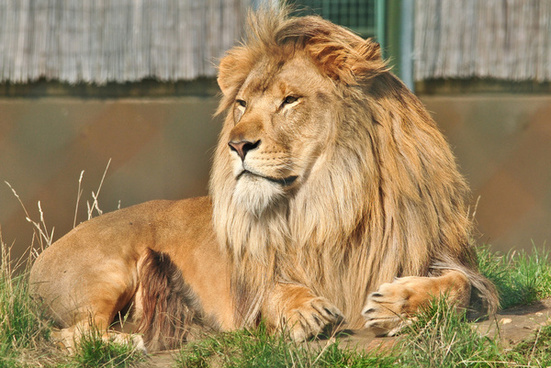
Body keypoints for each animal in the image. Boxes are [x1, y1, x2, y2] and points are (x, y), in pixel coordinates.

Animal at [29, 7, 500, 350]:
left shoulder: (453, 262)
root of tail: (38, 261)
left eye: (290, 100)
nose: (238, 145)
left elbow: (459, 287)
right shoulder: (249, 284)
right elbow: (273, 290)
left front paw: (398, 305)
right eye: (241, 104)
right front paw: (304, 310)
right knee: (74, 336)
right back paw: (138, 343)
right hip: (107, 274)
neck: (331, 204)